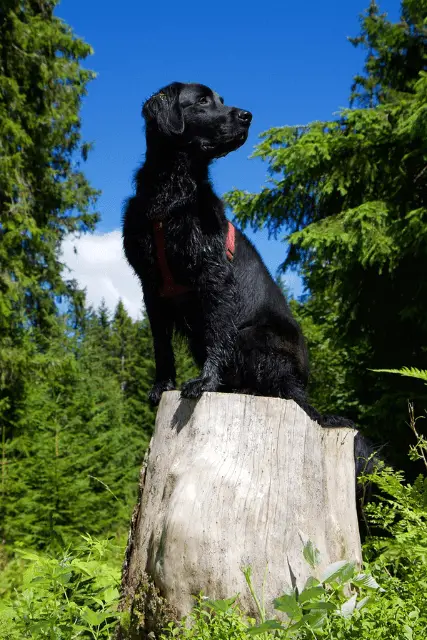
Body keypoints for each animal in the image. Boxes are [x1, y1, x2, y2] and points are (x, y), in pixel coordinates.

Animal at [122, 81, 352, 430]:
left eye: (220, 100)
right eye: (202, 100)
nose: (247, 116)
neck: (171, 195)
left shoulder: (213, 275)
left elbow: (218, 333)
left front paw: (204, 382)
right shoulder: (150, 285)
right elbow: (161, 345)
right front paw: (162, 386)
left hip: (254, 335)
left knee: (280, 388)